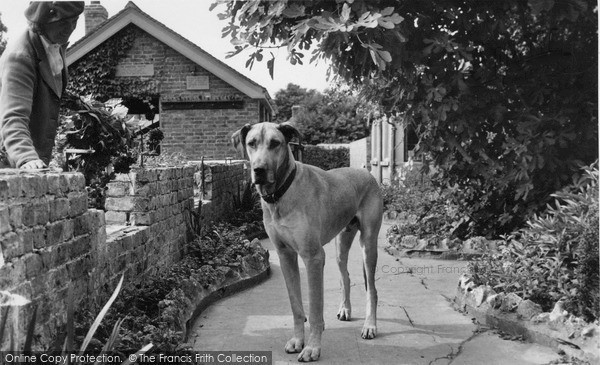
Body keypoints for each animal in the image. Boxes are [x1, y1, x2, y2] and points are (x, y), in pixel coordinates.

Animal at [232, 122, 382, 362]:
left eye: (275, 143)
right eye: (251, 143)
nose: (259, 170)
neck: (281, 193)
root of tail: (365, 172)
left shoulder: (313, 258)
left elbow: (314, 309)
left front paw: (312, 347)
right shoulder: (285, 256)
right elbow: (296, 306)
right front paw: (297, 340)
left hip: (368, 244)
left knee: (372, 290)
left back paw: (370, 326)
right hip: (341, 245)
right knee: (346, 277)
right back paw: (345, 309)